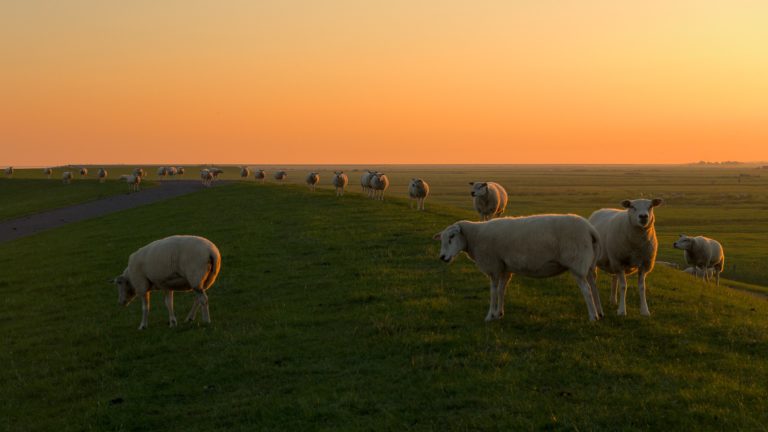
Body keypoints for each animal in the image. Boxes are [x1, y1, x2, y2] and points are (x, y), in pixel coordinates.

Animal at [436, 215, 604, 320]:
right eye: (442, 239)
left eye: (452, 237)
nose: (442, 257)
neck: (475, 237)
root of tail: (591, 230)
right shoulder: (505, 268)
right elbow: (501, 291)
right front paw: (499, 313)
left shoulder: (494, 266)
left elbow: (493, 292)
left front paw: (490, 316)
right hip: (589, 264)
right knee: (594, 287)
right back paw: (600, 313)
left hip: (577, 262)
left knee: (586, 290)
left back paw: (592, 317)